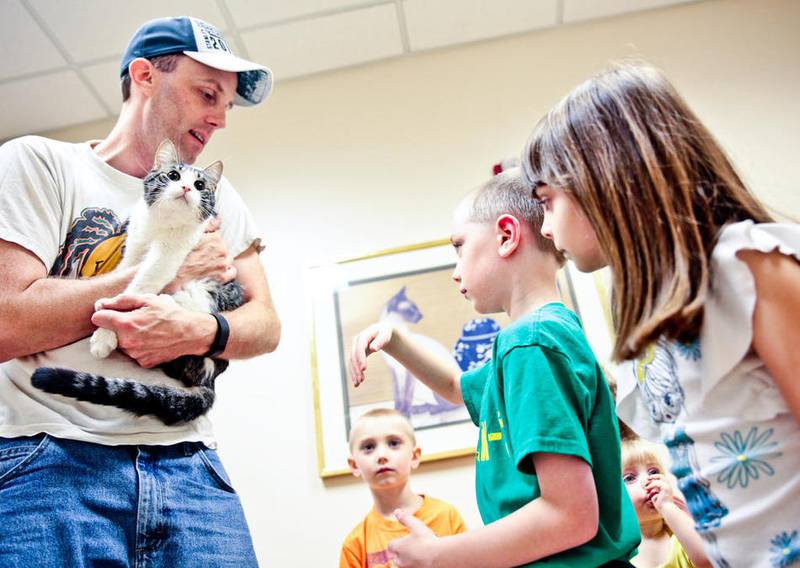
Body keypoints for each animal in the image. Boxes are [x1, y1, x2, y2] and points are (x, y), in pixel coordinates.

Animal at [32, 140, 244, 424]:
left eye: (200, 185)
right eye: (173, 175)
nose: (187, 188)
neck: (161, 226)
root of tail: (210, 378)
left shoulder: (168, 255)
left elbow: (140, 282)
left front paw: (105, 333)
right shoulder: (134, 246)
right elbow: (126, 269)